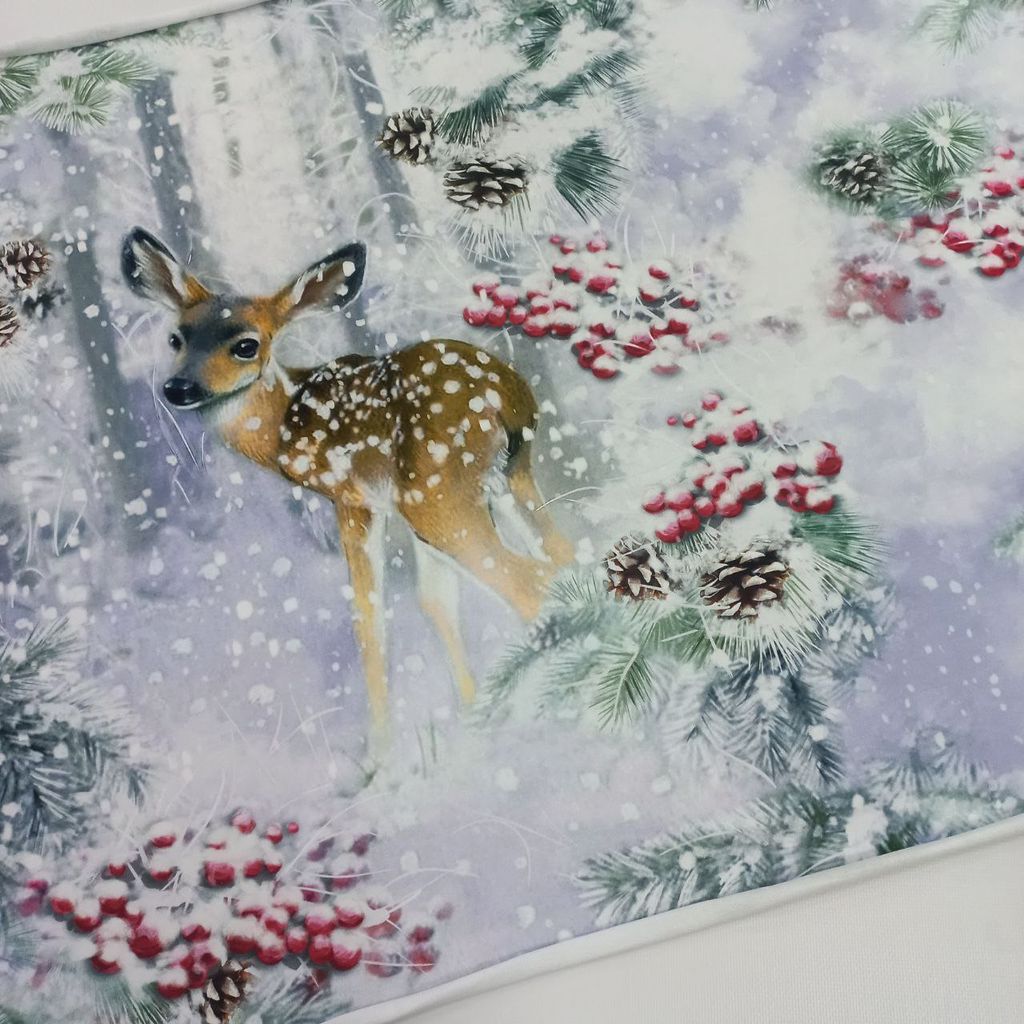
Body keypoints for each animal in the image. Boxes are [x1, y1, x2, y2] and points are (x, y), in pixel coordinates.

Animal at [121, 227, 573, 744]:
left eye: (246, 345)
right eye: (176, 338)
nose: (179, 388)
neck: (284, 427)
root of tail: (508, 394)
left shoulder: (352, 498)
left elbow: (368, 620)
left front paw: (381, 756)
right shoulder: (394, 508)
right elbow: (436, 602)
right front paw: (471, 720)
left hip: (438, 492)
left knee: (528, 579)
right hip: (510, 477)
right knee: (564, 554)